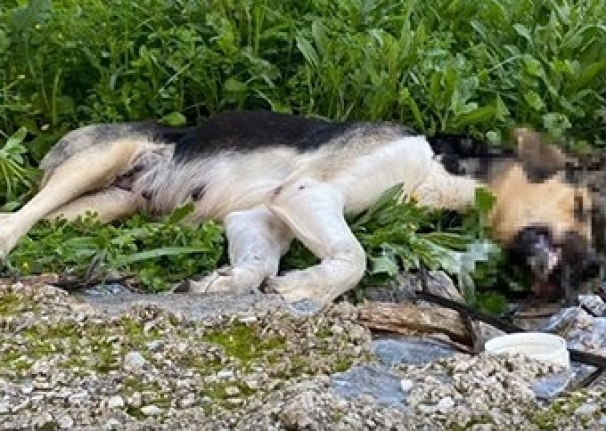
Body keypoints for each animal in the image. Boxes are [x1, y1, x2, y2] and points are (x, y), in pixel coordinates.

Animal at [0, 109, 604, 308]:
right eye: (579, 204)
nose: (591, 272)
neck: (442, 172)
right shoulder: (306, 192)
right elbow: (352, 258)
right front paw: (303, 289)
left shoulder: (260, 216)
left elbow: (255, 267)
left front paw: (224, 283)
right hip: (100, 157)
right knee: (14, 219)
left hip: (103, 206)